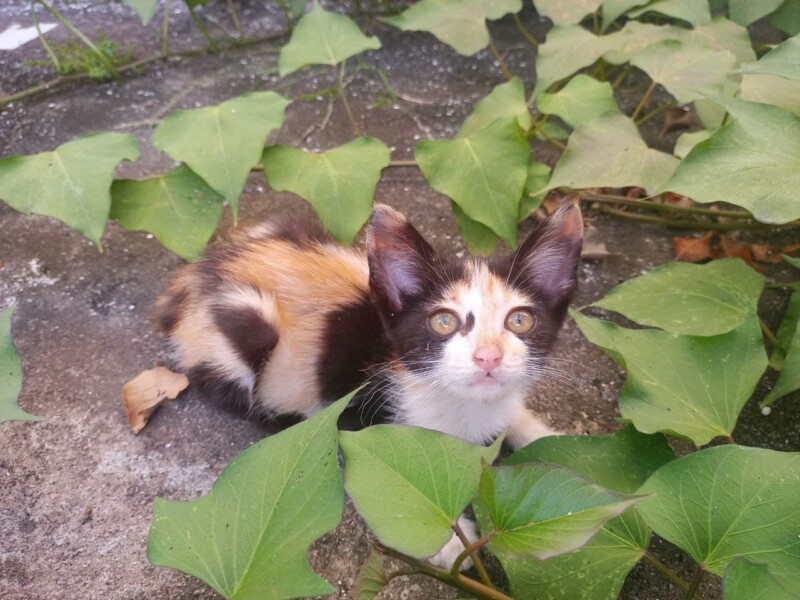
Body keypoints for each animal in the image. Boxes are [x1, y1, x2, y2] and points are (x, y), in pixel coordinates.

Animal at [155, 202, 580, 450]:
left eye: (520, 320)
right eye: (443, 321)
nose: (488, 357)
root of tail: (196, 275)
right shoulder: (354, 416)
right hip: (246, 322)